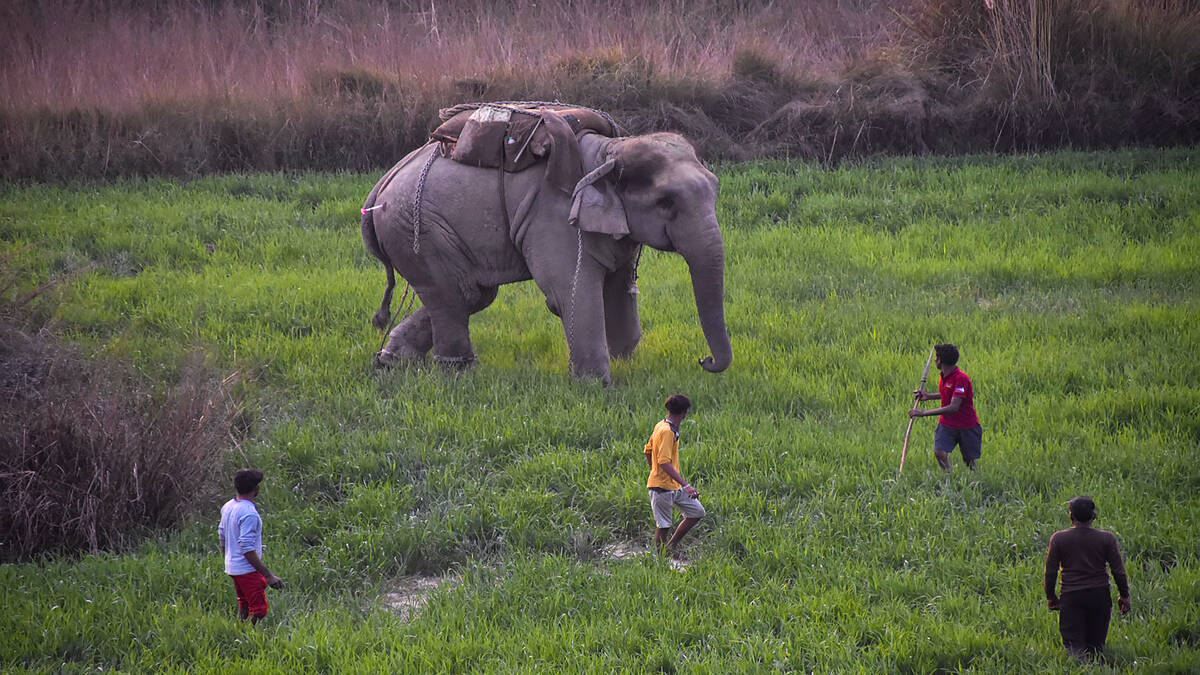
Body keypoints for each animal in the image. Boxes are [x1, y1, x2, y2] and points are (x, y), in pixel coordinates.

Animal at [361, 127, 731, 384]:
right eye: (666, 203)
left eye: (715, 190)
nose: (704, 361)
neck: (611, 152)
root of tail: (379, 188)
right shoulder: (554, 218)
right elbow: (571, 293)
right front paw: (596, 386)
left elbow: (618, 287)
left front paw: (623, 361)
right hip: (417, 227)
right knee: (457, 294)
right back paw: (459, 373)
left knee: (471, 295)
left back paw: (391, 361)